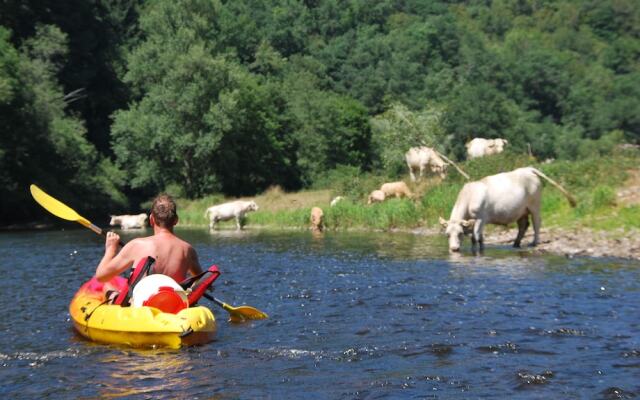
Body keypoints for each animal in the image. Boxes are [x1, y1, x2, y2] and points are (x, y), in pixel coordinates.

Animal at [438, 167, 576, 252]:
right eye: (447, 234)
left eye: (460, 233)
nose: (454, 249)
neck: (469, 195)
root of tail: (529, 169)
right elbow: (480, 237)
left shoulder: (481, 218)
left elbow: (474, 237)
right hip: (522, 210)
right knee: (523, 225)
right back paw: (516, 244)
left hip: (535, 205)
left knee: (536, 223)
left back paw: (534, 242)